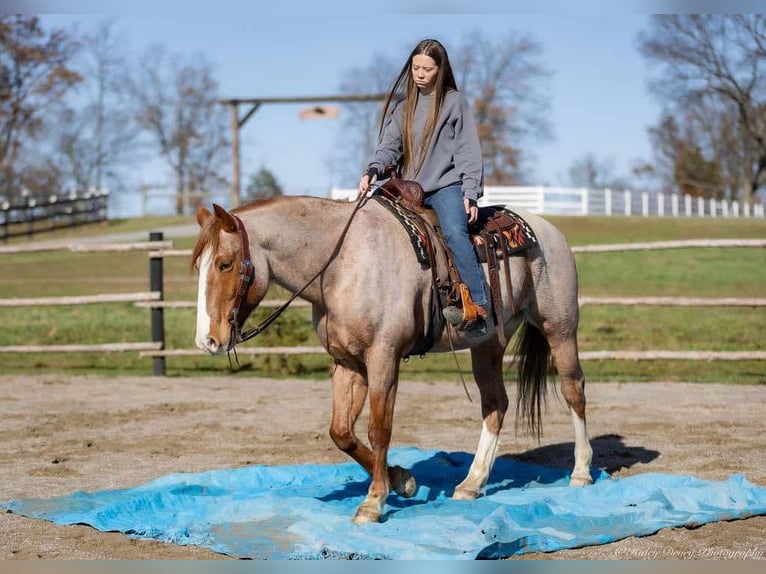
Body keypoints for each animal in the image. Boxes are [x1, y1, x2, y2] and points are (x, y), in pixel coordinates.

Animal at [192, 197, 592, 528]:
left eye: (225, 264)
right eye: (198, 266)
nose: (206, 341)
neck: (342, 264)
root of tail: (546, 230)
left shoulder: (383, 357)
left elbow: (378, 430)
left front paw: (374, 502)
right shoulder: (347, 363)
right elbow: (341, 432)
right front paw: (403, 480)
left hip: (559, 328)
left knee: (573, 391)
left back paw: (581, 472)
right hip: (488, 342)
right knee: (496, 404)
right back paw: (471, 483)